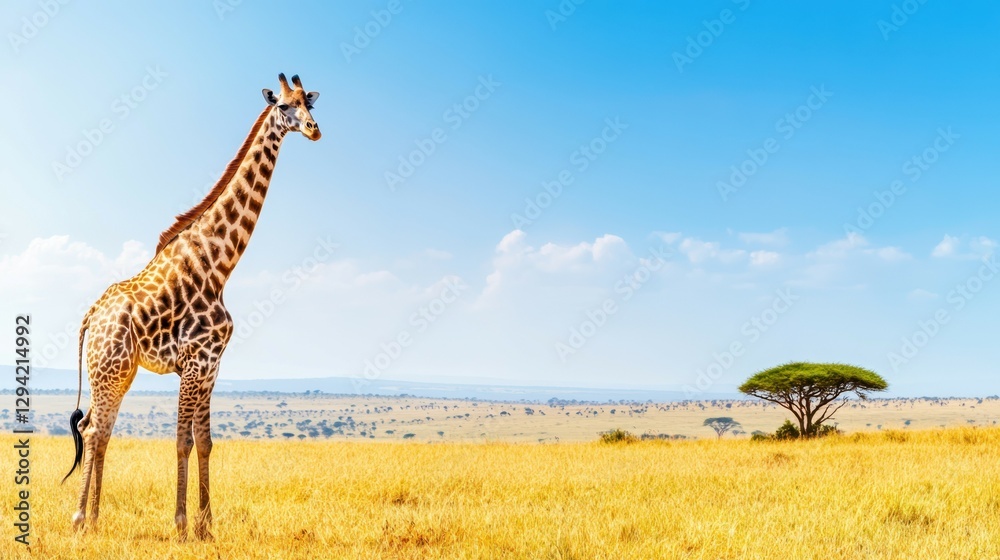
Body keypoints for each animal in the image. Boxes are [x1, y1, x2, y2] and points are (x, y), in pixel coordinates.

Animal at [62, 73, 321, 540]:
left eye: (309, 104)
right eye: (283, 106)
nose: (314, 130)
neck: (219, 268)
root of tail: (91, 315)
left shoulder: (212, 364)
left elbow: (205, 442)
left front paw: (207, 526)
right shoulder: (195, 363)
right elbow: (183, 441)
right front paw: (182, 524)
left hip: (119, 372)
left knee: (100, 429)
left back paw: (94, 519)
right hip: (107, 369)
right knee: (92, 430)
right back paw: (78, 520)